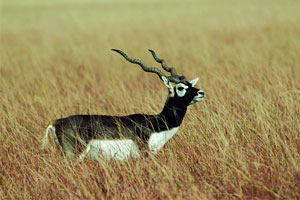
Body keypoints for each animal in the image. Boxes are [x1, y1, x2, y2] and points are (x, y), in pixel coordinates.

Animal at [40, 49, 204, 161]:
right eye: (180, 88)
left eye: (190, 84)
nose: (201, 92)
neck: (157, 123)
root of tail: (56, 122)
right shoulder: (144, 153)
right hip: (73, 155)